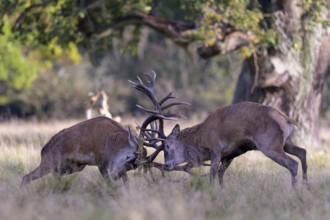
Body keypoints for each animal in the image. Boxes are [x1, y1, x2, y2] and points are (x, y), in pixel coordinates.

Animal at [164, 102, 308, 188]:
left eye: (167, 146)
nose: (166, 165)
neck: (200, 139)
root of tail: (287, 120)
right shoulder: (229, 155)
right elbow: (220, 174)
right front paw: (222, 191)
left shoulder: (215, 149)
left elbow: (212, 175)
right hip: (286, 143)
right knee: (302, 152)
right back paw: (306, 186)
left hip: (269, 145)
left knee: (293, 163)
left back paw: (294, 191)